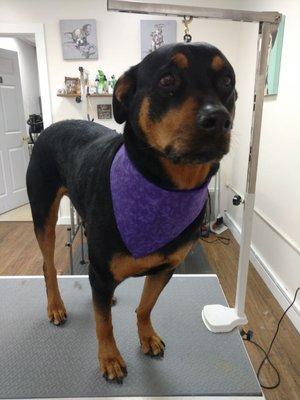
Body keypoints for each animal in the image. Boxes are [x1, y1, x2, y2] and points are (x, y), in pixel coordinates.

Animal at [26, 42, 237, 382]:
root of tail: (51, 127)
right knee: (49, 266)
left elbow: (146, 307)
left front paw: (146, 336)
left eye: (227, 81)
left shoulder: (165, 268)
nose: (218, 119)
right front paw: (110, 358)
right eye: (167, 80)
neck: (164, 187)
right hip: (43, 211)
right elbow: (104, 323)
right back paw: (56, 306)